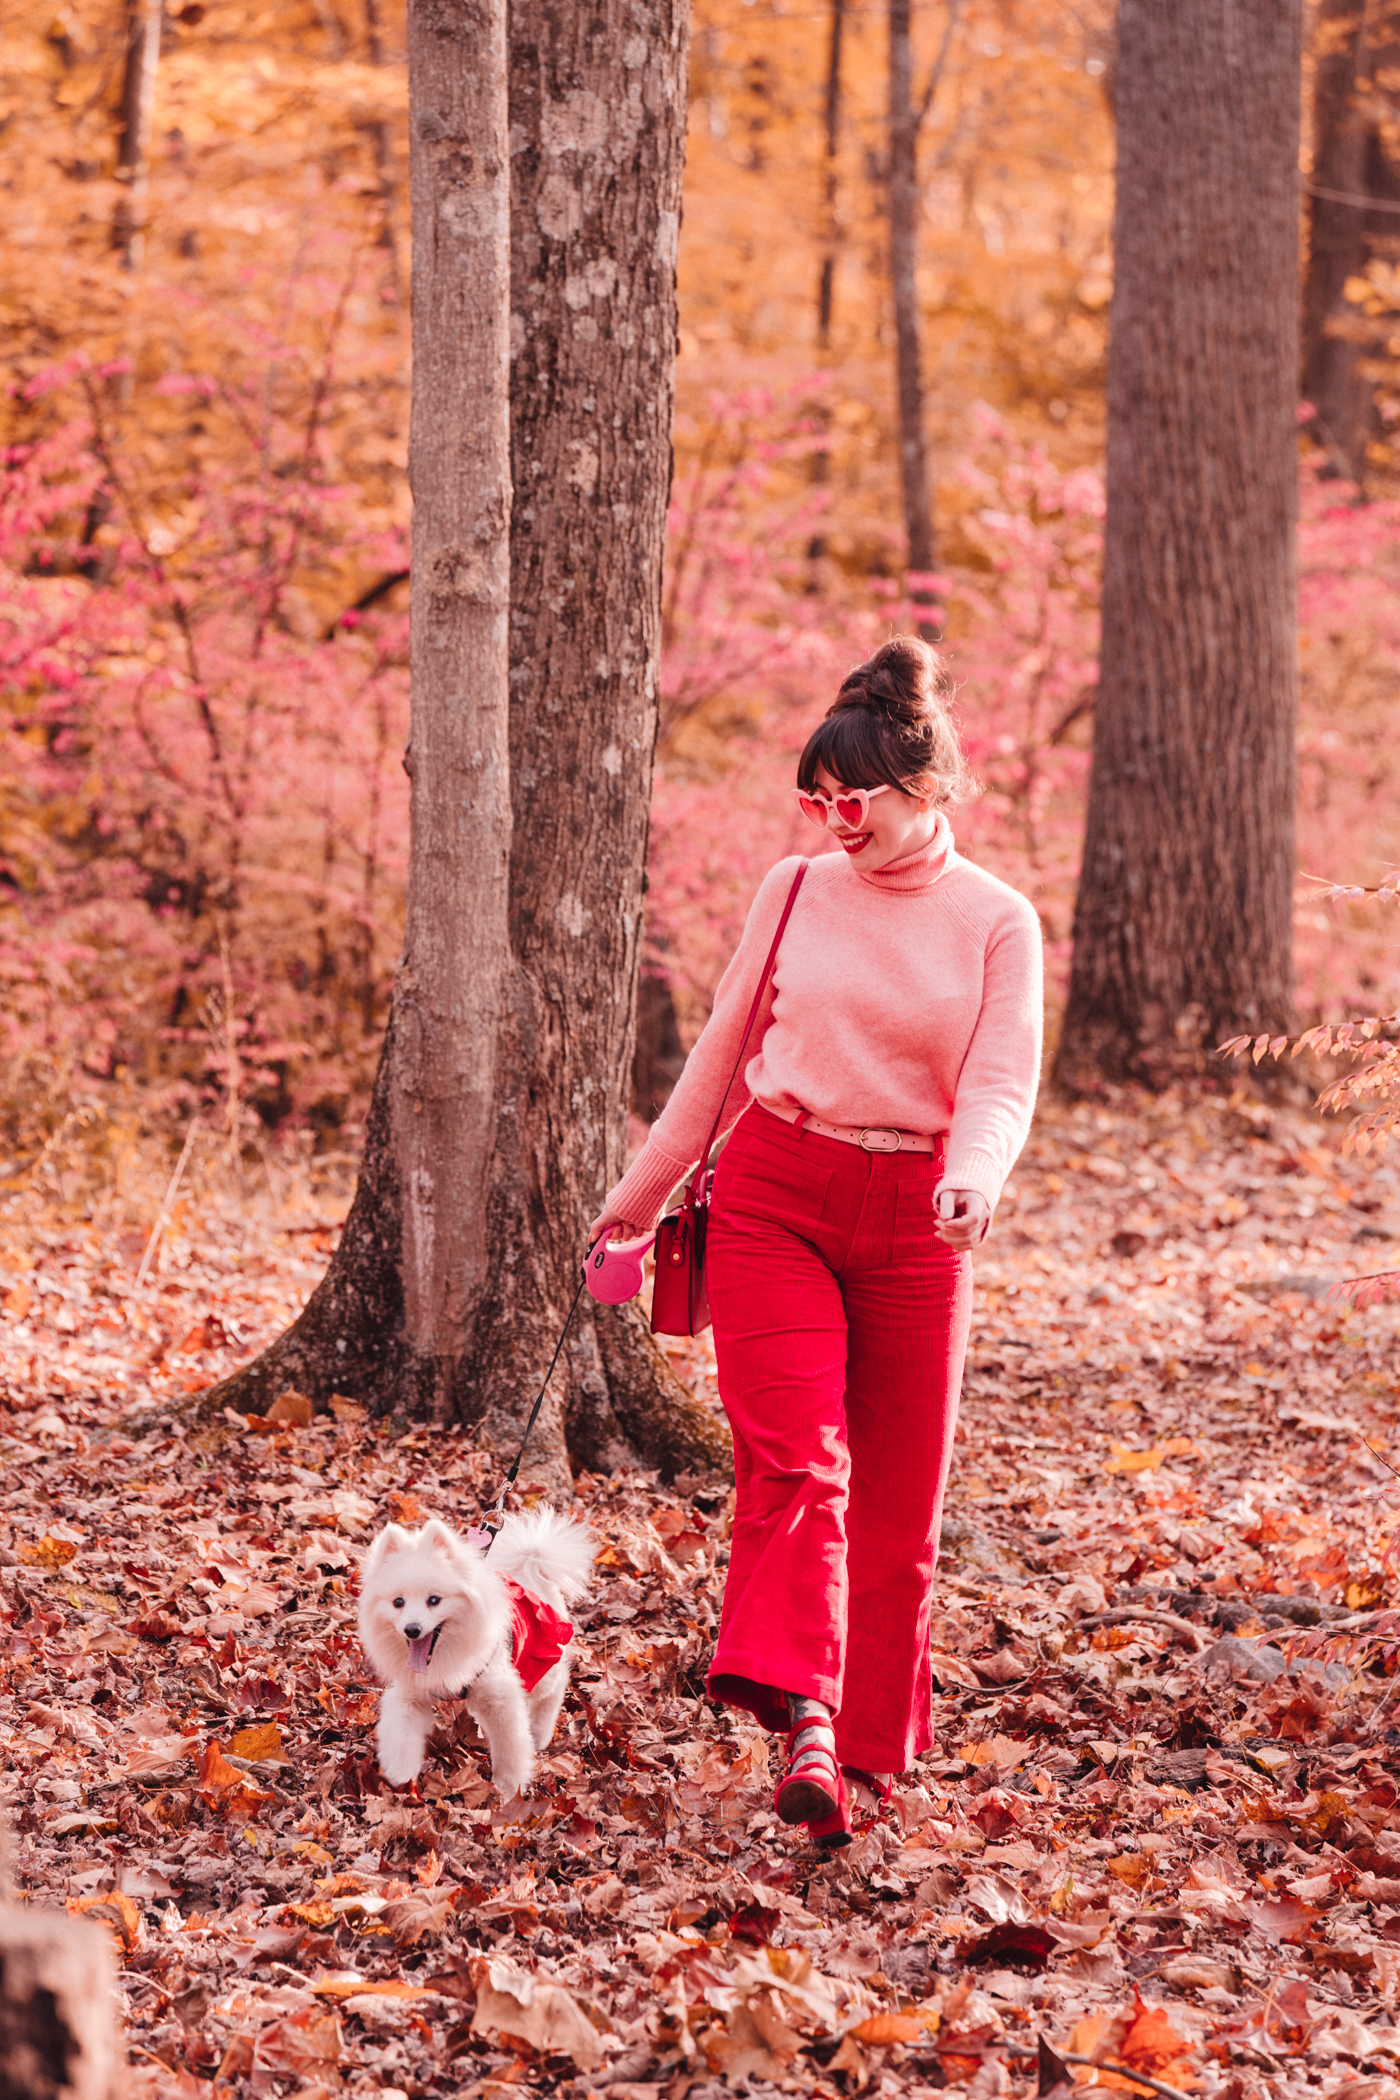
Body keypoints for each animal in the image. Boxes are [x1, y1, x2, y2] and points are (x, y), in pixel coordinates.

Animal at [358, 1520, 596, 1797]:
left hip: (541, 1660)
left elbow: (510, 1747)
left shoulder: (501, 1697)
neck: (443, 1655)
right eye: (398, 1602)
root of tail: (532, 1565)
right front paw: (400, 1775)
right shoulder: (411, 1694)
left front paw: (507, 1788)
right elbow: (401, 1733)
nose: (412, 1629)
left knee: (555, 1686)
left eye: (434, 1600)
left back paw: (540, 1733)